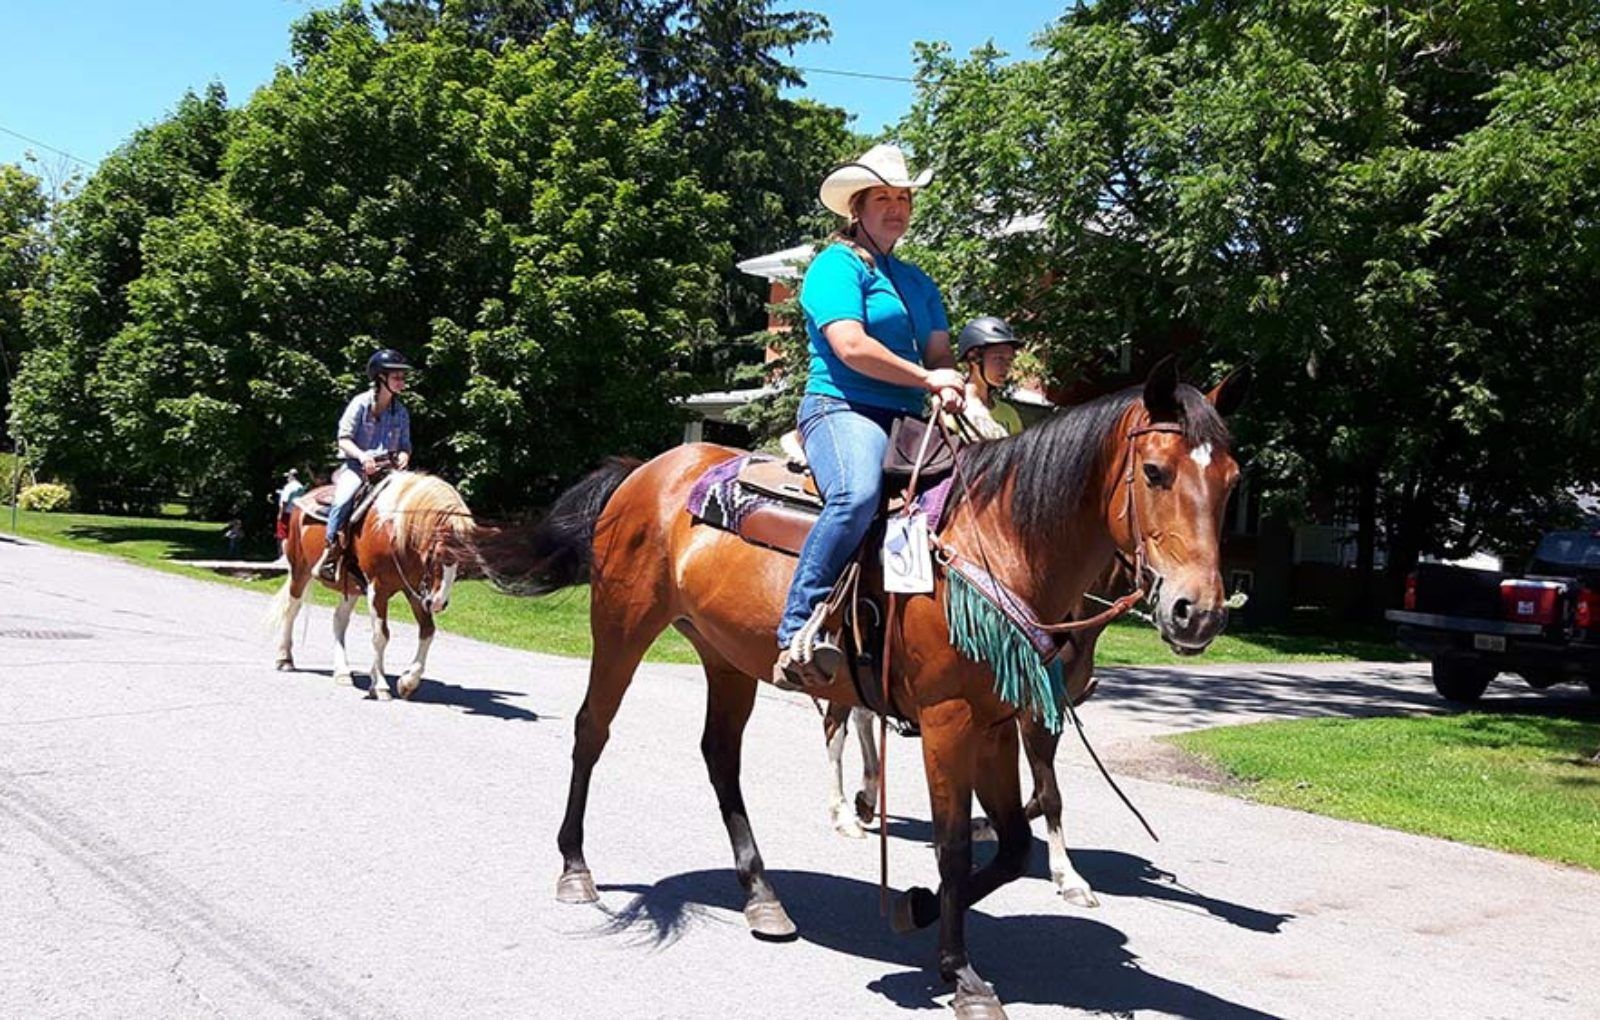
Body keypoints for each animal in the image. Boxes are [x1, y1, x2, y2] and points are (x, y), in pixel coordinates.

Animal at [268, 471, 475, 700]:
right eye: (436, 553)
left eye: (462, 560)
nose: (439, 602)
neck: (392, 530)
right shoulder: (379, 589)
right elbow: (381, 635)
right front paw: (381, 685)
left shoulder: (414, 592)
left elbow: (427, 631)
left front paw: (407, 682)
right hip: (300, 570)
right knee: (291, 610)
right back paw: (285, 659)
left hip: (351, 587)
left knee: (339, 620)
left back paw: (342, 672)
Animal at [474, 359, 1244, 1019]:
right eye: (1155, 472)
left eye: (1232, 482)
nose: (1197, 612)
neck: (1000, 542)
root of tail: (646, 470)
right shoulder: (948, 720)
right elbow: (956, 847)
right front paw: (962, 975)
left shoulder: (998, 722)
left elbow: (1012, 844)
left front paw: (919, 908)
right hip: (622, 625)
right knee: (592, 730)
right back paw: (575, 866)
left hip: (727, 656)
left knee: (720, 757)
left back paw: (762, 897)